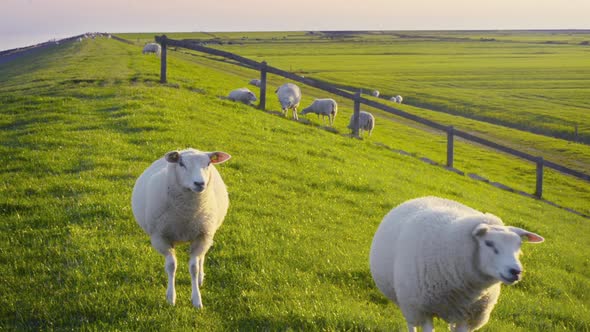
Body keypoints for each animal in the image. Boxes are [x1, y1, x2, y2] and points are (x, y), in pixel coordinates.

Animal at [132, 148, 231, 308]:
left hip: (207, 234)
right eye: (181, 163)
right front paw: (171, 297)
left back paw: (200, 278)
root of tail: (188, 148)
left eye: (208, 163)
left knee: (201, 257)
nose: (200, 183)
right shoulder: (160, 237)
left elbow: (194, 267)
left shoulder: (202, 235)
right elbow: (171, 265)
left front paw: (197, 299)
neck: (186, 215)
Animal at [370, 196, 544, 330]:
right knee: (411, 324)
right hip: (409, 303)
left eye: (519, 245)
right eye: (489, 243)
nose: (516, 271)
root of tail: (425, 197)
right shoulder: (424, 310)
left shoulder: (468, 317)